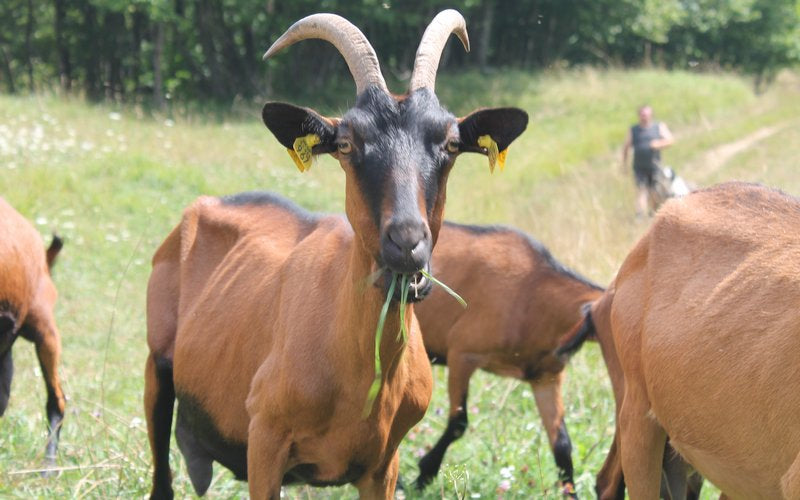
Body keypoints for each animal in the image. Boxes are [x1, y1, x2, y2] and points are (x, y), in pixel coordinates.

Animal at [145, 11, 532, 500]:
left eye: (449, 143)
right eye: (347, 143)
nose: (406, 241)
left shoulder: (383, 463)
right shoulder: (264, 441)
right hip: (157, 367)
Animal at [410, 223, 604, 496]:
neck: (532, 291)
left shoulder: (545, 378)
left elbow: (562, 444)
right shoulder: (462, 355)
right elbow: (458, 423)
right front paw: (423, 474)